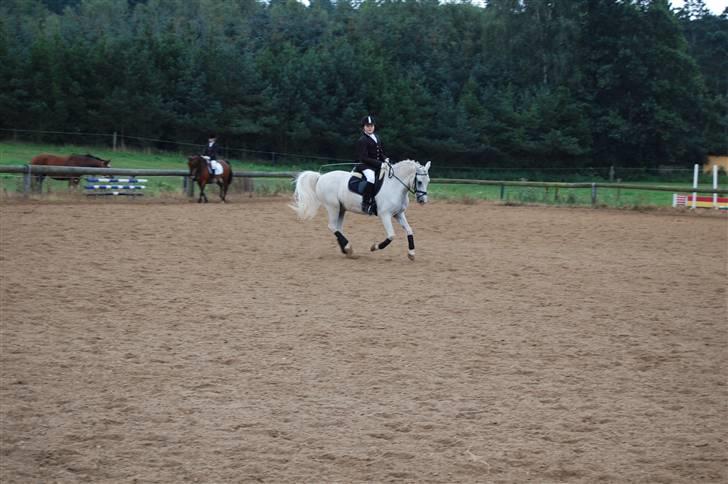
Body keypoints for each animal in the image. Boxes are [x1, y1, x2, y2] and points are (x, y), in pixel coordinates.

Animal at [291, 159, 431, 261]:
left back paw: (346, 250)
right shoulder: (385, 215)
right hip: (333, 207)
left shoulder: (398, 214)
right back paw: (348, 247)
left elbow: (409, 230)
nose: (423, 200)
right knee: (332, 226)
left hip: (341, 209)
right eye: (419, 181)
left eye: (428, 181)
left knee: (338, 228)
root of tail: (321, 177)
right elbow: (391, 236)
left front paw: (411, 253)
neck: (394, 186)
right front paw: (374, 247)